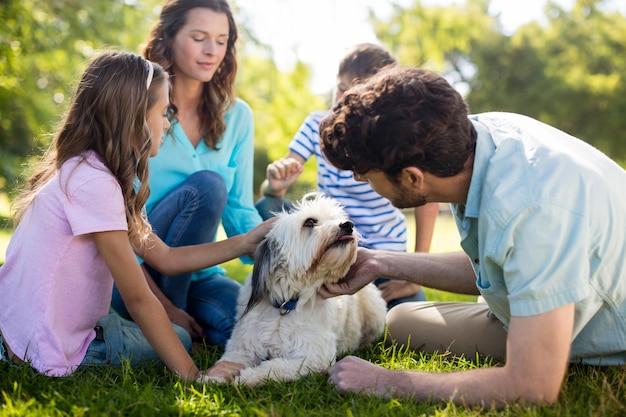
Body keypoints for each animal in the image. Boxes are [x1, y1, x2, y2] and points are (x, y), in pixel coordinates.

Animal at [205, 193, 386, 386]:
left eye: (338, 218)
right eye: (310, 222)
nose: (348, 225)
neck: (286, 304)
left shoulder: (313, 356)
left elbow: (273, 366)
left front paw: (247, 377)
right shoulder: (242, 345)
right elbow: (229, 360)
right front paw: (212, 376)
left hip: (374, 312)